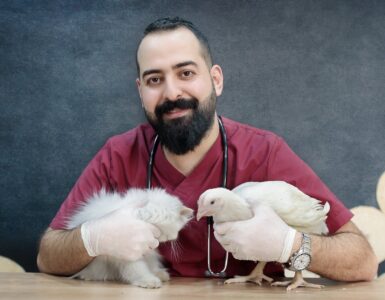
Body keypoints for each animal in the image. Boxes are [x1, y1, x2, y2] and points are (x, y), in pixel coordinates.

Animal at [66, 188, 194, 288]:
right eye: (161, 233)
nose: (165, 240)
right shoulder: (130, 256)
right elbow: (138, 269)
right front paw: (149, 281)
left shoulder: (148, 252)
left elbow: (151, 264)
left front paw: (157, 274)